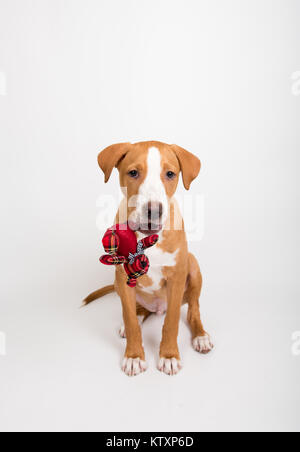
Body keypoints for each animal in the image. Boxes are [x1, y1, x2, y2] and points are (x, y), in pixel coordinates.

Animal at [84, 140, 213, 374]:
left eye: (170, 174)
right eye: (133, 172)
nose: (154, 211)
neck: (147, 238)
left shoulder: (177, 277)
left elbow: (172, 322)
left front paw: (169, 355)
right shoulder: (123, 279)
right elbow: (130, 320)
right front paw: (134, 356)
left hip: (193, 265)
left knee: (193, 310)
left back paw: (200, 336)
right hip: (118, 283)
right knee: (137, 311)